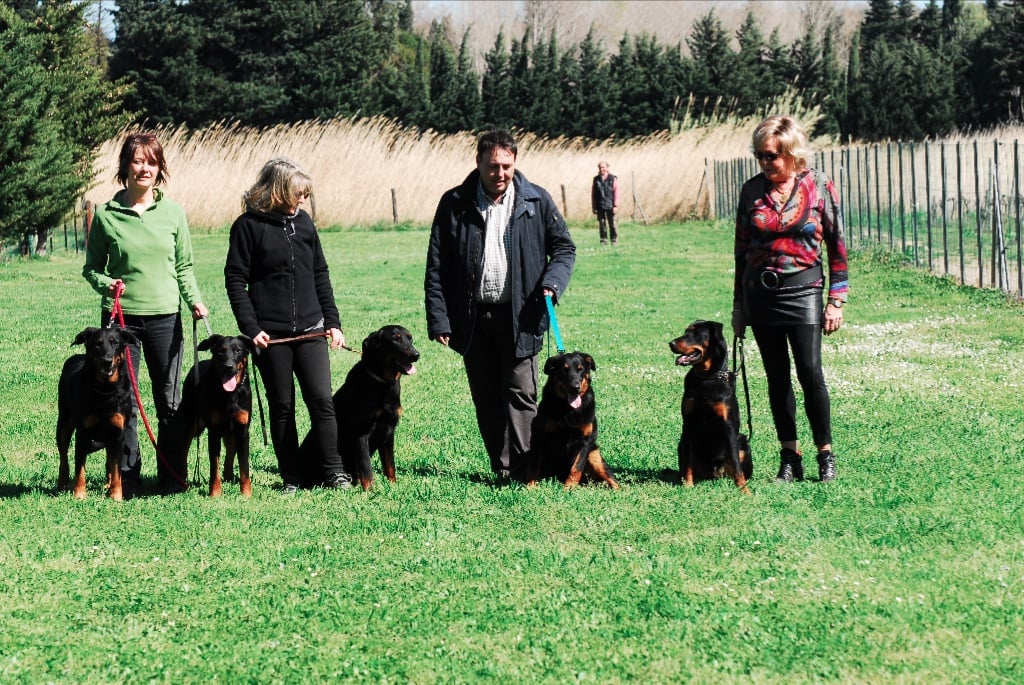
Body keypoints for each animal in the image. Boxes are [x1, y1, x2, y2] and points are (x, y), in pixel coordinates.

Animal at [57, 325, 138, 497]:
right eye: (97, 344)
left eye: (115, 343)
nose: (107, 361)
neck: (105, 389)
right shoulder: (83, 432)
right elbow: (79, 468)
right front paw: (79, 494)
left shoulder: (118, 433)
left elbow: (116, 467)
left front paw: (116, 495)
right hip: (64, 422)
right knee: (63, 456)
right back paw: (62, 483)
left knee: (109, 459)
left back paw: (108, 484)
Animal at [162, 335, 254, 497]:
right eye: (220, 352)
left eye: (238, 350)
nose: (229, 367)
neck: (230, 394)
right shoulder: (214, 431)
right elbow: (214, 466)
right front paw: (215, 493)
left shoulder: (242, 430)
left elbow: (244, 466)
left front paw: (246, 494)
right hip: (191, 422)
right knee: (184, 449)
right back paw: (181, 478)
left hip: (231, 431)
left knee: (230, 450)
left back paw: (229, 477)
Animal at [299, 325, 419, 489]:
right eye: (395, 339)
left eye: (410, 338)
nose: (416, 354)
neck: (383, 383)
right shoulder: (361, 433)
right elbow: (366, 467)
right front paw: (371, 490)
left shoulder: (388, 430)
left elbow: (390, 465)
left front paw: (393, 486)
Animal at [528, 350, 614, 489]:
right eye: (564, 370)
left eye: (580, 369)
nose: (575, 387)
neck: (568, 409)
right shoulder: (538, 436)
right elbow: (534, 465)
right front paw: (530, 487)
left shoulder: (586, 440)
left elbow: (576, 467)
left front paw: (569, 487)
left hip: (594, 456)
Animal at [671, 321, 753, 491]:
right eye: (685, 331)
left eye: (695, 333)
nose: (671, 343)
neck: (707, 377)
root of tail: (714, 474)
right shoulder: (688, 424)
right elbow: (688, 462)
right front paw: (688, 486)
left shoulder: (729, 427)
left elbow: (736, 464)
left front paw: (744, 490)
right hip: (681, 443)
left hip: (743, 442)